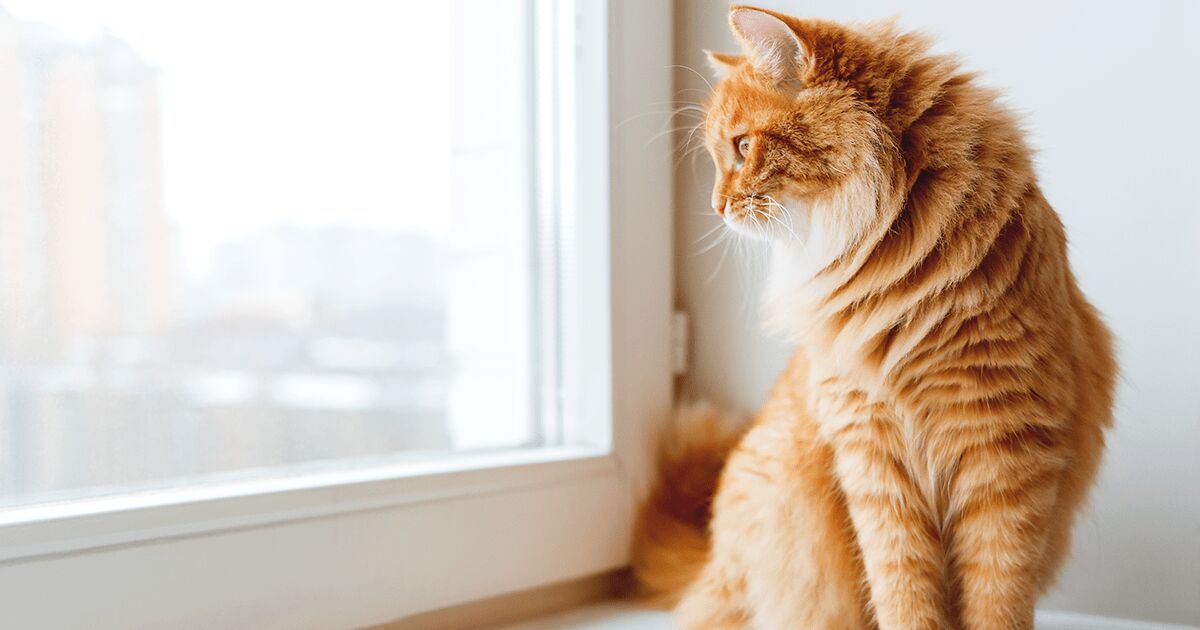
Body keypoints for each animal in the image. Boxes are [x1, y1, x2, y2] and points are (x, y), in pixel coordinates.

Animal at [638, 6, 1113, 628]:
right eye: (721, 157)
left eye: (742, 147)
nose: (717, 206)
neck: (899, 284)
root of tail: (711, 559)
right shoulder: (873, 459)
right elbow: (904, 592)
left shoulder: (1004, 458)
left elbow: (997, 598)